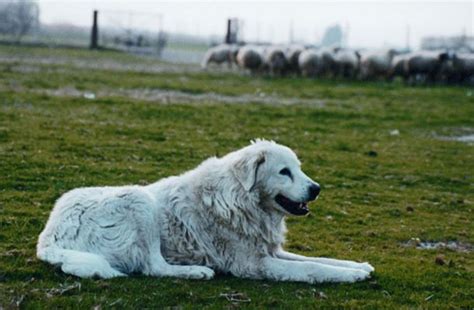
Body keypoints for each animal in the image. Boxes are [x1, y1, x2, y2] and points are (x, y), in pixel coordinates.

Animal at [37, 140, 374, 284]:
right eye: (284, 172)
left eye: (299, 169)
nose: (316, 188)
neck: (241, 199)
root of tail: (47, 239)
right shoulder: (255, 264)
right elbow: (312, 268)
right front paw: (352, 276)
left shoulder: (270, 251)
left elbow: (318, 259)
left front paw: (357, 265)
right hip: (139, 200)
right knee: (154, 267)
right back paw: (195, 271)